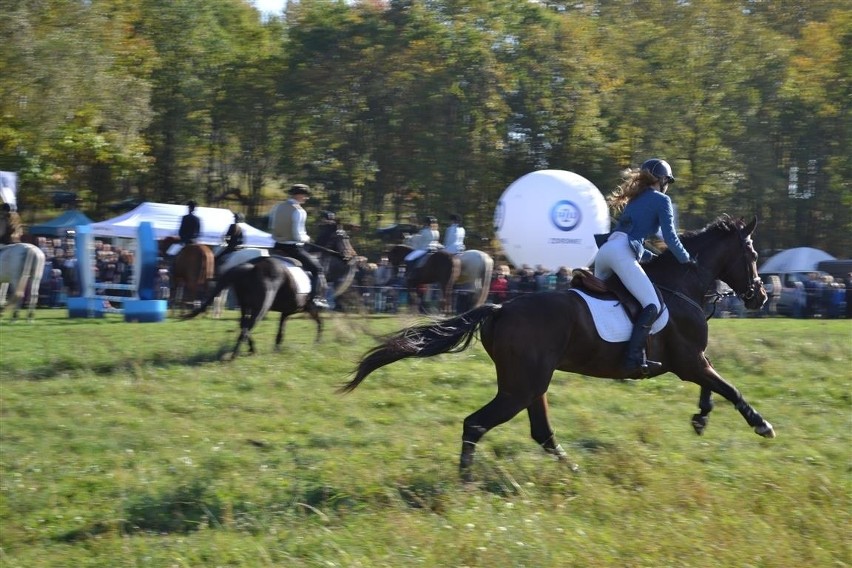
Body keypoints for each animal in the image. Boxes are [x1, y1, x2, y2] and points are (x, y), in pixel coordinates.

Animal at [181, 256, 322, 360]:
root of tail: (251, 268)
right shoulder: (307, 307)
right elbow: (319, 322)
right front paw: (317, 343)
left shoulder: (286, 312)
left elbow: (281, 331)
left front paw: (276, 349)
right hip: (261, 308)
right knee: (247, 327)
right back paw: (234, 355)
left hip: (246, 307)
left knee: (244, 326)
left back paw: (249, 350)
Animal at [342, 217, 776, 480]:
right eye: (753, 255)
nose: (760, 297)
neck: (680, 286)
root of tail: (500, 307)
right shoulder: (688, 361)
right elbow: (729, 387)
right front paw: (761, 424)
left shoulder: (692, 362)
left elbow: (714, 385)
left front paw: (701, 418)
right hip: (522, 386)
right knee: (476, 424)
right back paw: (466, 482)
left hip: (532, 383)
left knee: (541, 433)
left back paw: (572, 468)